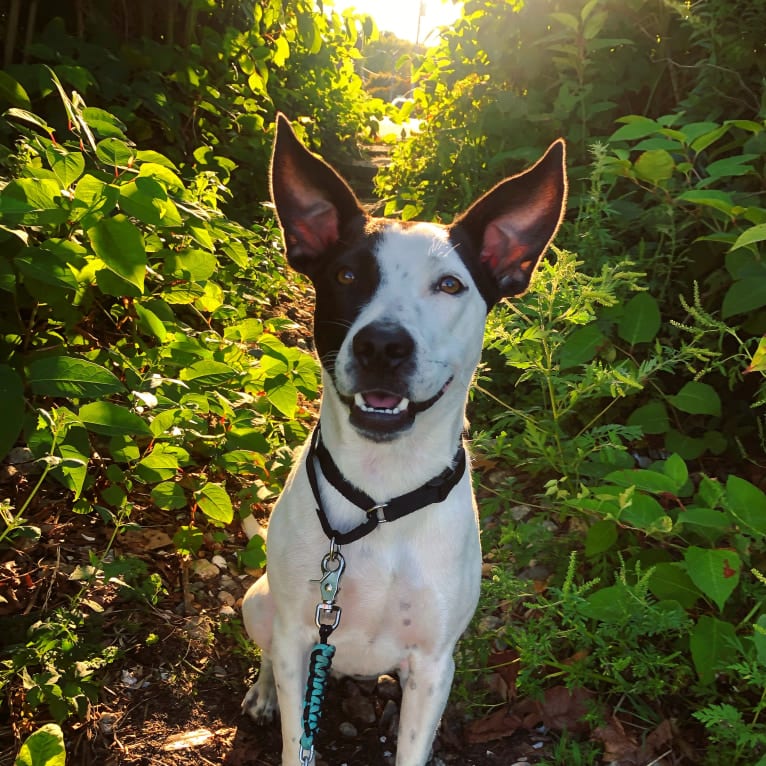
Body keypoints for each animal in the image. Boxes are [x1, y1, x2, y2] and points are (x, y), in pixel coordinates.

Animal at [243, 115, 568, 766]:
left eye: (450, 285)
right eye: (346, 275)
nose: (382, 346)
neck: (381, 497)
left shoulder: (434, 665)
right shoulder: (297, 635)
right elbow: (297, 737)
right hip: (257, 602)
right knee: (266, 655)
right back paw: (261, 694)